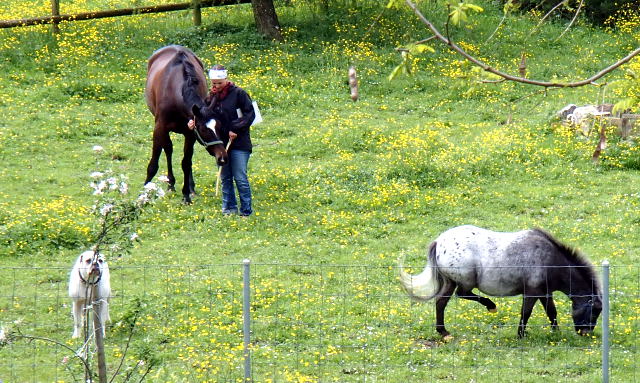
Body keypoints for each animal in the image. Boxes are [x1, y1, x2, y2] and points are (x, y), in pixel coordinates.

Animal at [145, 45, 228, 204]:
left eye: (220, 127)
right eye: (204, 130)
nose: (222, 157)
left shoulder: (190, 132)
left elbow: (186, 162)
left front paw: (186, 195)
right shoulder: (159, 128)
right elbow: (154, 162)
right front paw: (145, 189)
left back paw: (189, 187)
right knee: (168, 149)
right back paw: (170, 183)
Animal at [398, 225, 604, 340]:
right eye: (594, 310)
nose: (586, 334)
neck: (550, 259)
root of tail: (439, 241)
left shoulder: (545, 293)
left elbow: (551, 312)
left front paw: (556, 332)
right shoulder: (532, 292)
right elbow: (526, 313)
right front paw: (520, 335)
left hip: (450, 282)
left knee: (441, 303)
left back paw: (444, 332)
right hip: (464, 282)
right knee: (462, 294)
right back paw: (490, 305)